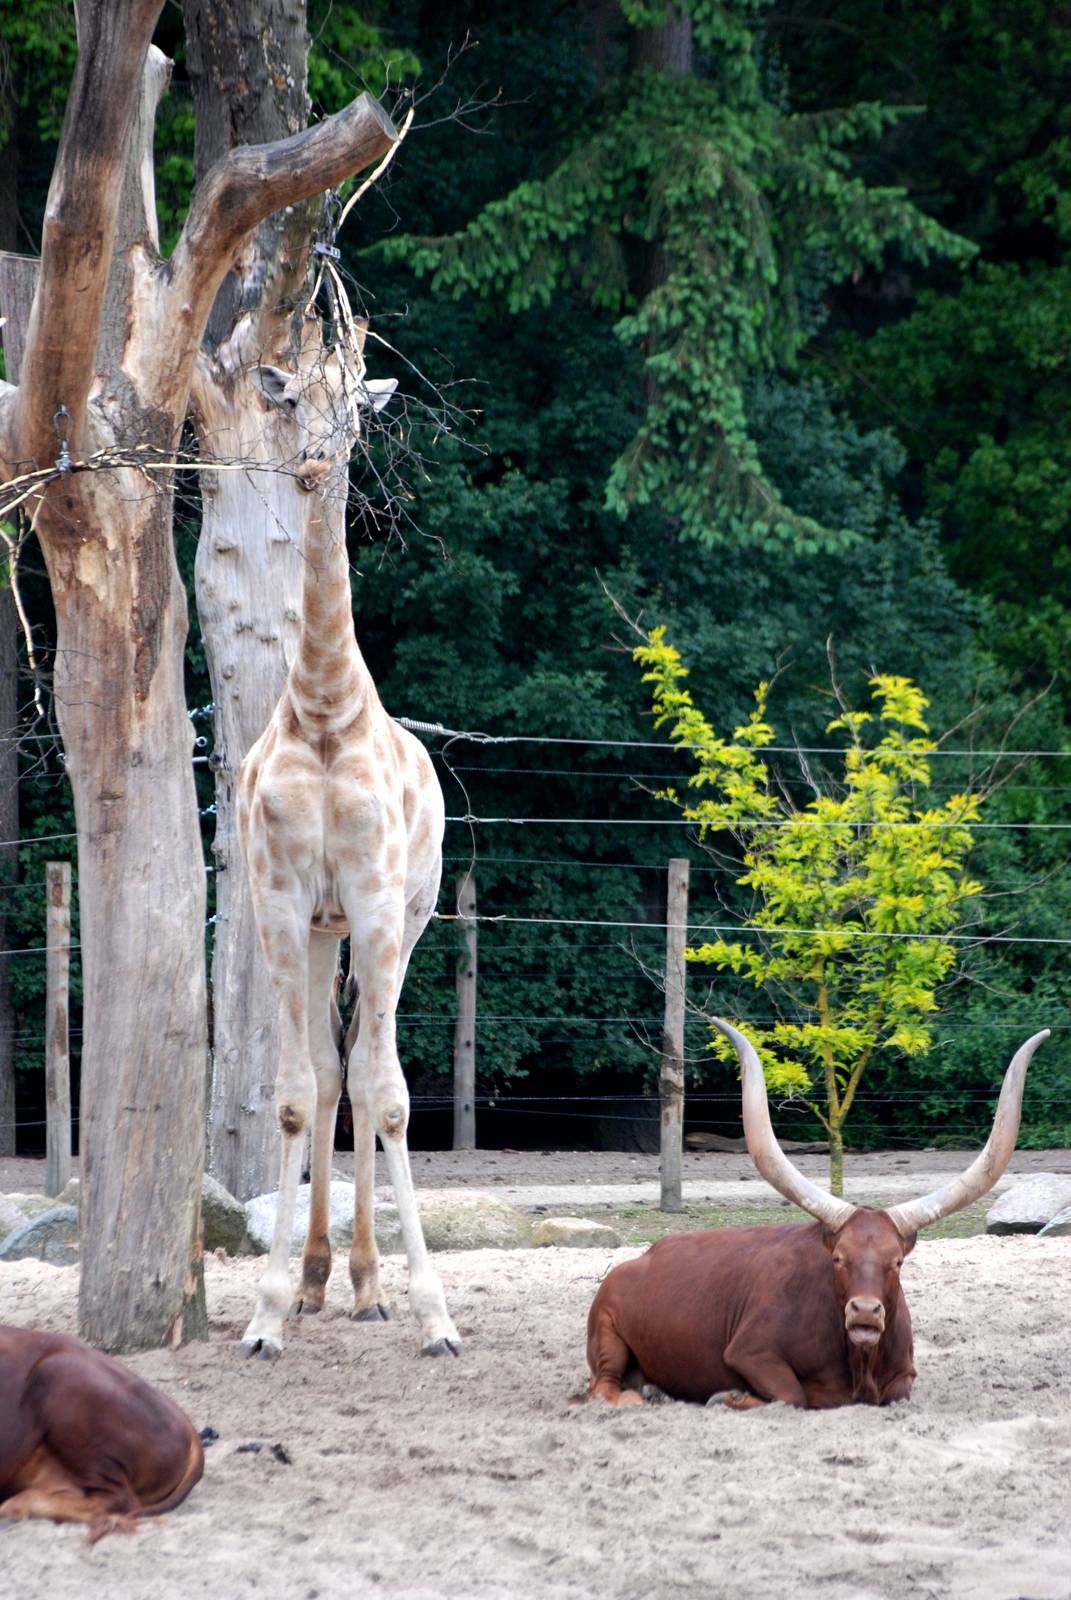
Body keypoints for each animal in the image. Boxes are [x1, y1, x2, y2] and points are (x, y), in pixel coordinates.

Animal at [585, 1020, 1049, 1409]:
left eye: (897, 1262)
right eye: (838, 1259)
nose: (865, 1312)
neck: (860, 1364)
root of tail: (641, 1257)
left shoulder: (904, 1376)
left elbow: (896, 1393)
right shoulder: (750, 1351)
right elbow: (793, 1395)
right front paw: (729, 1396)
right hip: (606, 1332)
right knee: (603, 1388)